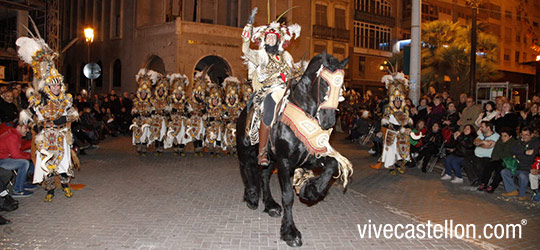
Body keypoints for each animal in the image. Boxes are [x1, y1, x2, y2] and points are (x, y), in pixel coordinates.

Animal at [236, 51, 350, 247]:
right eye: (324, 83)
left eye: (341, 86)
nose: (328, 121)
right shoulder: (284, 162)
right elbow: (288, 196)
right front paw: (290, 232)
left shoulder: (309, 157)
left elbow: (332, 164)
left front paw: (311, 190)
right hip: (245, 151)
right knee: (246, 170)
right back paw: (251, 196)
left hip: (269, 159)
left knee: (263, 175)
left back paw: (270, 205)